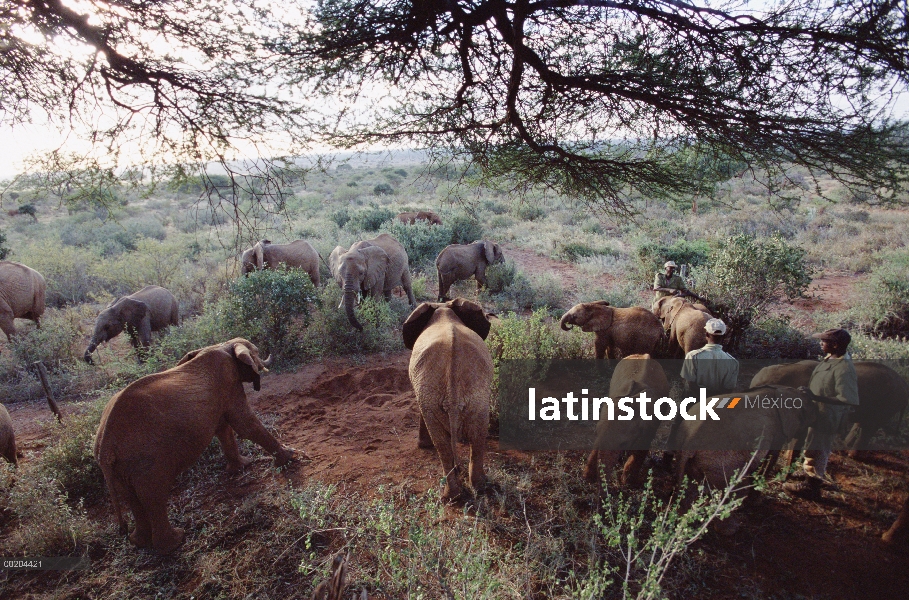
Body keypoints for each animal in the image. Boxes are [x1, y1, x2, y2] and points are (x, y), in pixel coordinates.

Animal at [94, 338, 296, 552]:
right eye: (256, 353)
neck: (224, 344)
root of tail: (104, 447)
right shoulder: (228, 380)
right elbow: (243, 422)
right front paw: (290, 456)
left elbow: (223, 428)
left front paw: (242, 466)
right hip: (145, 462)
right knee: (153, 496)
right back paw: (176, 542)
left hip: (121, 468)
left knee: (133, 499)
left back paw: (139, 542)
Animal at [402, 298, 494, 502]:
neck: (443, 309)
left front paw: (422, 446)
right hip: (474, 396)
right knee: (476, 436)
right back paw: (475, 490)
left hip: (433, 394)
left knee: (443, 443)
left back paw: (454, 496)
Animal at [580, 354, 668, 486]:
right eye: (596, 432)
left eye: (623, 443)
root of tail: (643, 354)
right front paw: (587, 477)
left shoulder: (650, 425)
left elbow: (641, 448)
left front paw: (628, 483)